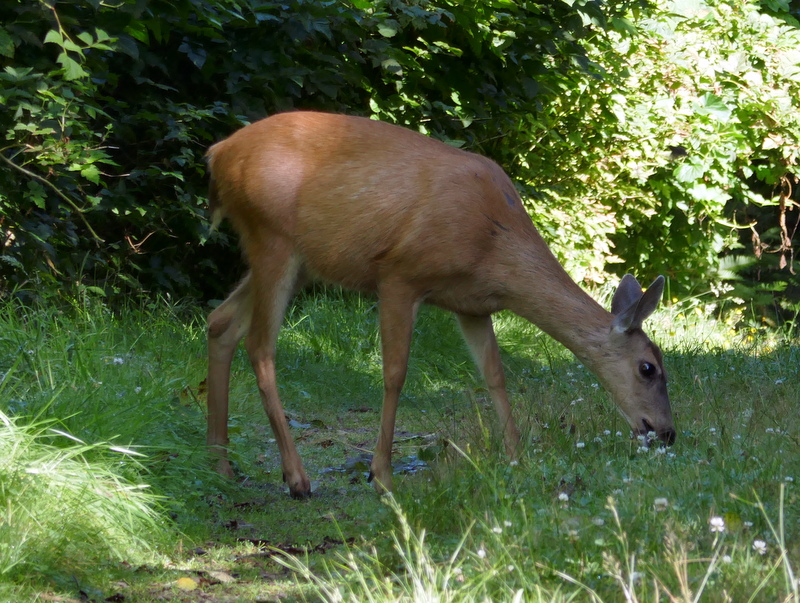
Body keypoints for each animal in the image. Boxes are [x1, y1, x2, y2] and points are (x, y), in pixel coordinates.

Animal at [205, 111, 675, 498]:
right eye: (648, 368)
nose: (666, 432)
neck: (493, 245)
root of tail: (217, 153)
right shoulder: (399, 275)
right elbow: (395, 374)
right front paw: (381, 475)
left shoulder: (473, 306)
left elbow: (495, 376)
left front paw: (516, 458)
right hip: (272, 236)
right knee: (260, 346)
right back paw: (296, 479)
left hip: (299, 260)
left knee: (220, 321)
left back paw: (221, 466)